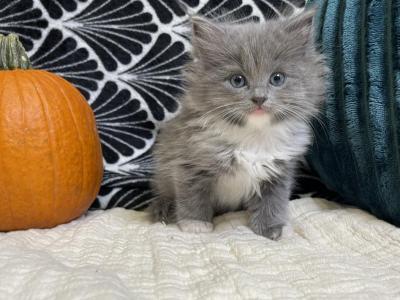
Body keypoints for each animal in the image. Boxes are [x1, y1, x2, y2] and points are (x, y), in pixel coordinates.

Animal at [148, 8, 326, 240]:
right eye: (238, 80)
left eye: (277, 78)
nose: (259, 98)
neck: (252, 136)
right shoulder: (190, 162)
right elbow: (193, 196)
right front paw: (195, 224)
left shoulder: (278, 170)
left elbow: (273, 202)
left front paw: (273, 227)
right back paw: (163, 208)